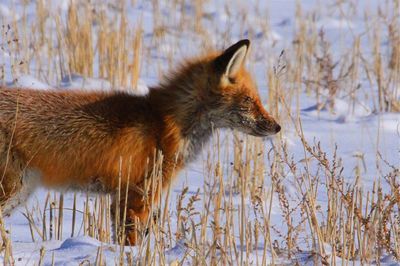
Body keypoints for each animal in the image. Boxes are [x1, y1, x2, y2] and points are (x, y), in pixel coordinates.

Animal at [0, 39, 282, 245]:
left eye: (257, 99)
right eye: (248, 101)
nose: (277, 127)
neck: (165, 122)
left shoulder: (122, 197)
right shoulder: (137, 197)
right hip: (13, 189)